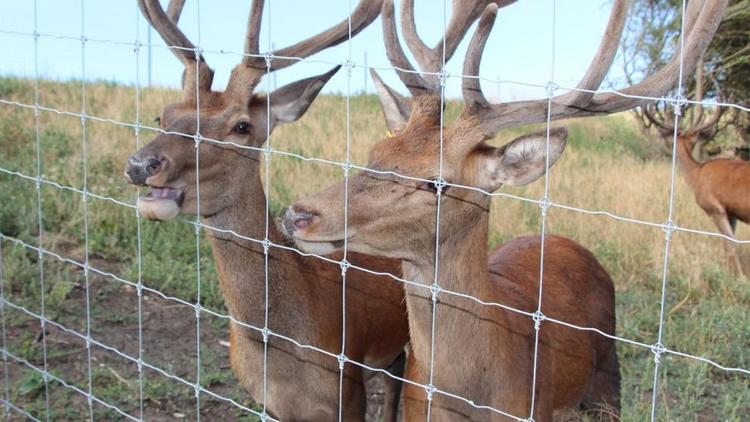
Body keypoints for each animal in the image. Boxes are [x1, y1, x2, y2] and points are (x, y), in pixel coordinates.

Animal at [640, 99, 750, 276]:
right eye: (692, 142)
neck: (696, 175)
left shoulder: (714, 207)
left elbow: (731, 245)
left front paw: (740, 277)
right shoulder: (731, 212)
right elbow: (729, 244)